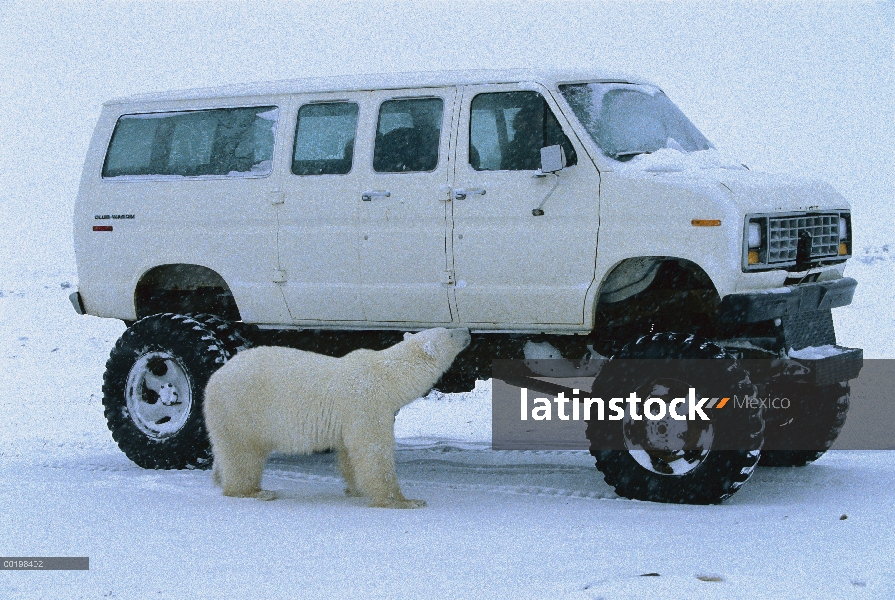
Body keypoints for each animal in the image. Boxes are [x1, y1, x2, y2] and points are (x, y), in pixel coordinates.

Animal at [201, 328, 468, 506]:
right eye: (449, 333)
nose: (467, 331)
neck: (388, 377)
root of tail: (214, 379)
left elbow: (350, 452)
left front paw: (356, 490)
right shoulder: (367, 403)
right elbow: (373, 450)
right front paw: (404, 500)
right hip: (241, 410)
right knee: (243, 454)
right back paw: (256, 491)